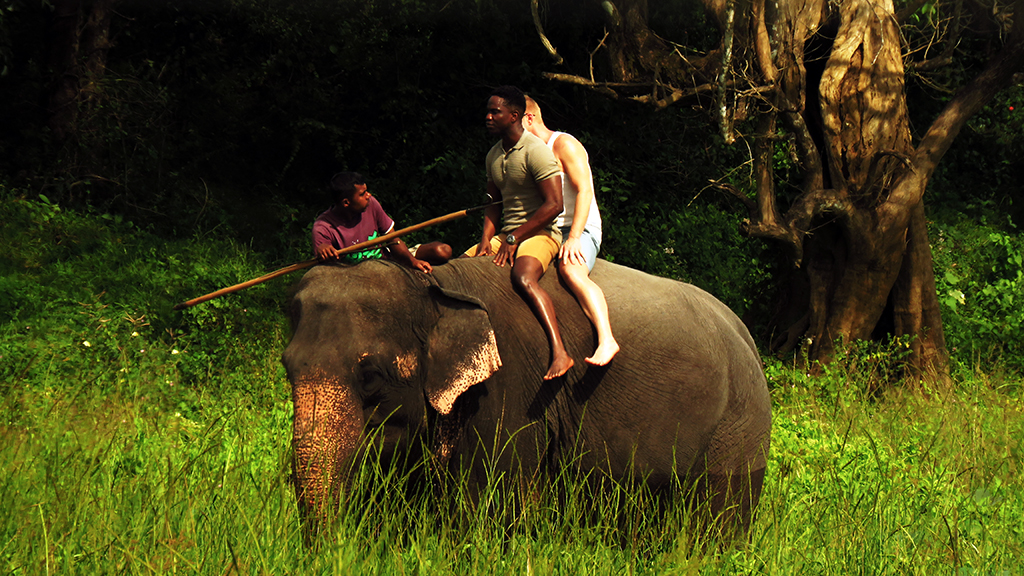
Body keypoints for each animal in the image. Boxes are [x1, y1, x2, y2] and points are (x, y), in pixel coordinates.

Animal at [282, 256, 771, 536]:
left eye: (370, 374)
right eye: (286, 368)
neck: (436, 287)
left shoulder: (513, 387)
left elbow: (497, 501)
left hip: (739, 426)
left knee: (717, 518)